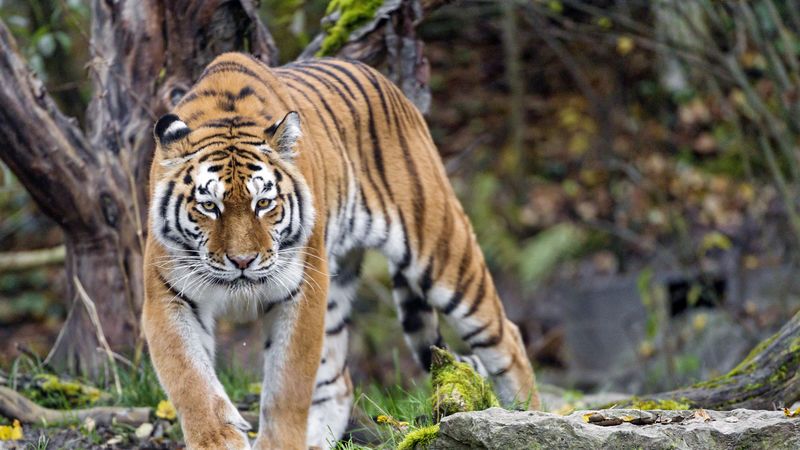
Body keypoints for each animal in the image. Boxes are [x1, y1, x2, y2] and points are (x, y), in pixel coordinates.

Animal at [142, 52, 539, 450]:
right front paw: (217, 439)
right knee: (338, 384)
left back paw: (525, 416)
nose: (243, 261)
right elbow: (191, 382)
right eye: (209, 206)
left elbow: (287, 387)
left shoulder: (302, 291)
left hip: (441, 250)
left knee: (508, 339)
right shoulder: (167, 296)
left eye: (264, 203)